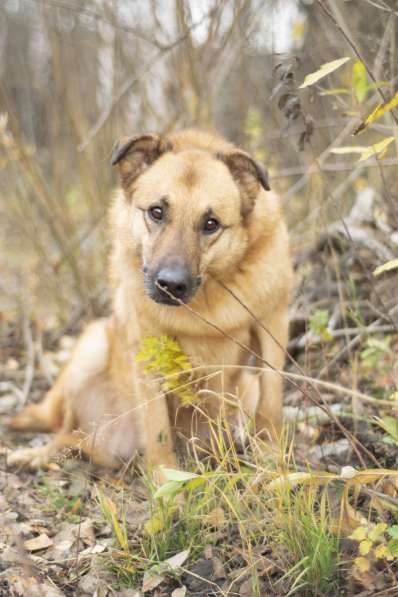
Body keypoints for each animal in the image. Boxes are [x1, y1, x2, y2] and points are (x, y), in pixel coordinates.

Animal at [7, 129, 292, 470]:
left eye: (210, 223)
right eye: (157, 212)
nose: (170, 284)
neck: (208, 299)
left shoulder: (273, 324)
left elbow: (272, 396)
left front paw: (271, 454)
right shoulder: (146, 344)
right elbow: (156, 424)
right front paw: (165, 476)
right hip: (92, 344)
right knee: (63, 429)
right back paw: (34, 455)